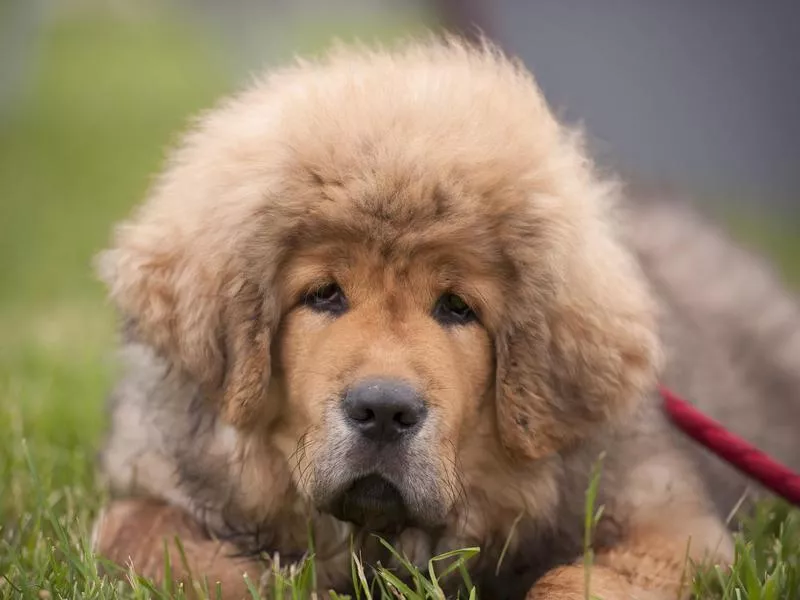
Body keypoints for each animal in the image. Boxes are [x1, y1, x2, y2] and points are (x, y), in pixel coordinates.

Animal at [90, 38, 800, 600]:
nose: (383, 411)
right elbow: (141, 537)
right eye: (323, 294)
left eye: (458, 307)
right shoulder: (158, 484)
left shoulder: (671, 527)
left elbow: (574, 581)